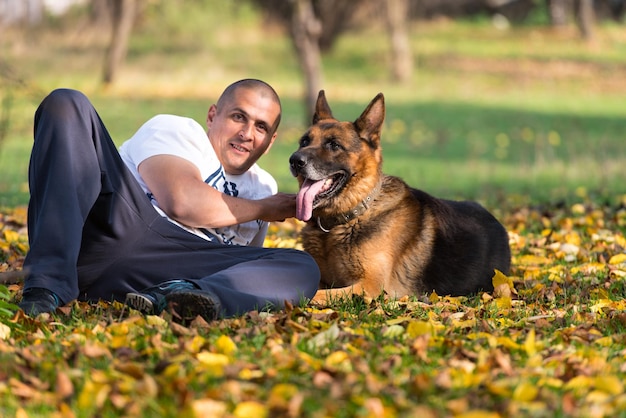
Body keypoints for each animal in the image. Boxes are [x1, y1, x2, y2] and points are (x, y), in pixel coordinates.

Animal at [290, 90, 510, 302]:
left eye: (334, 145)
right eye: (304, 142)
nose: (295, 160)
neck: (347, 219)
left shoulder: (369, 286)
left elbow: (311, 294)